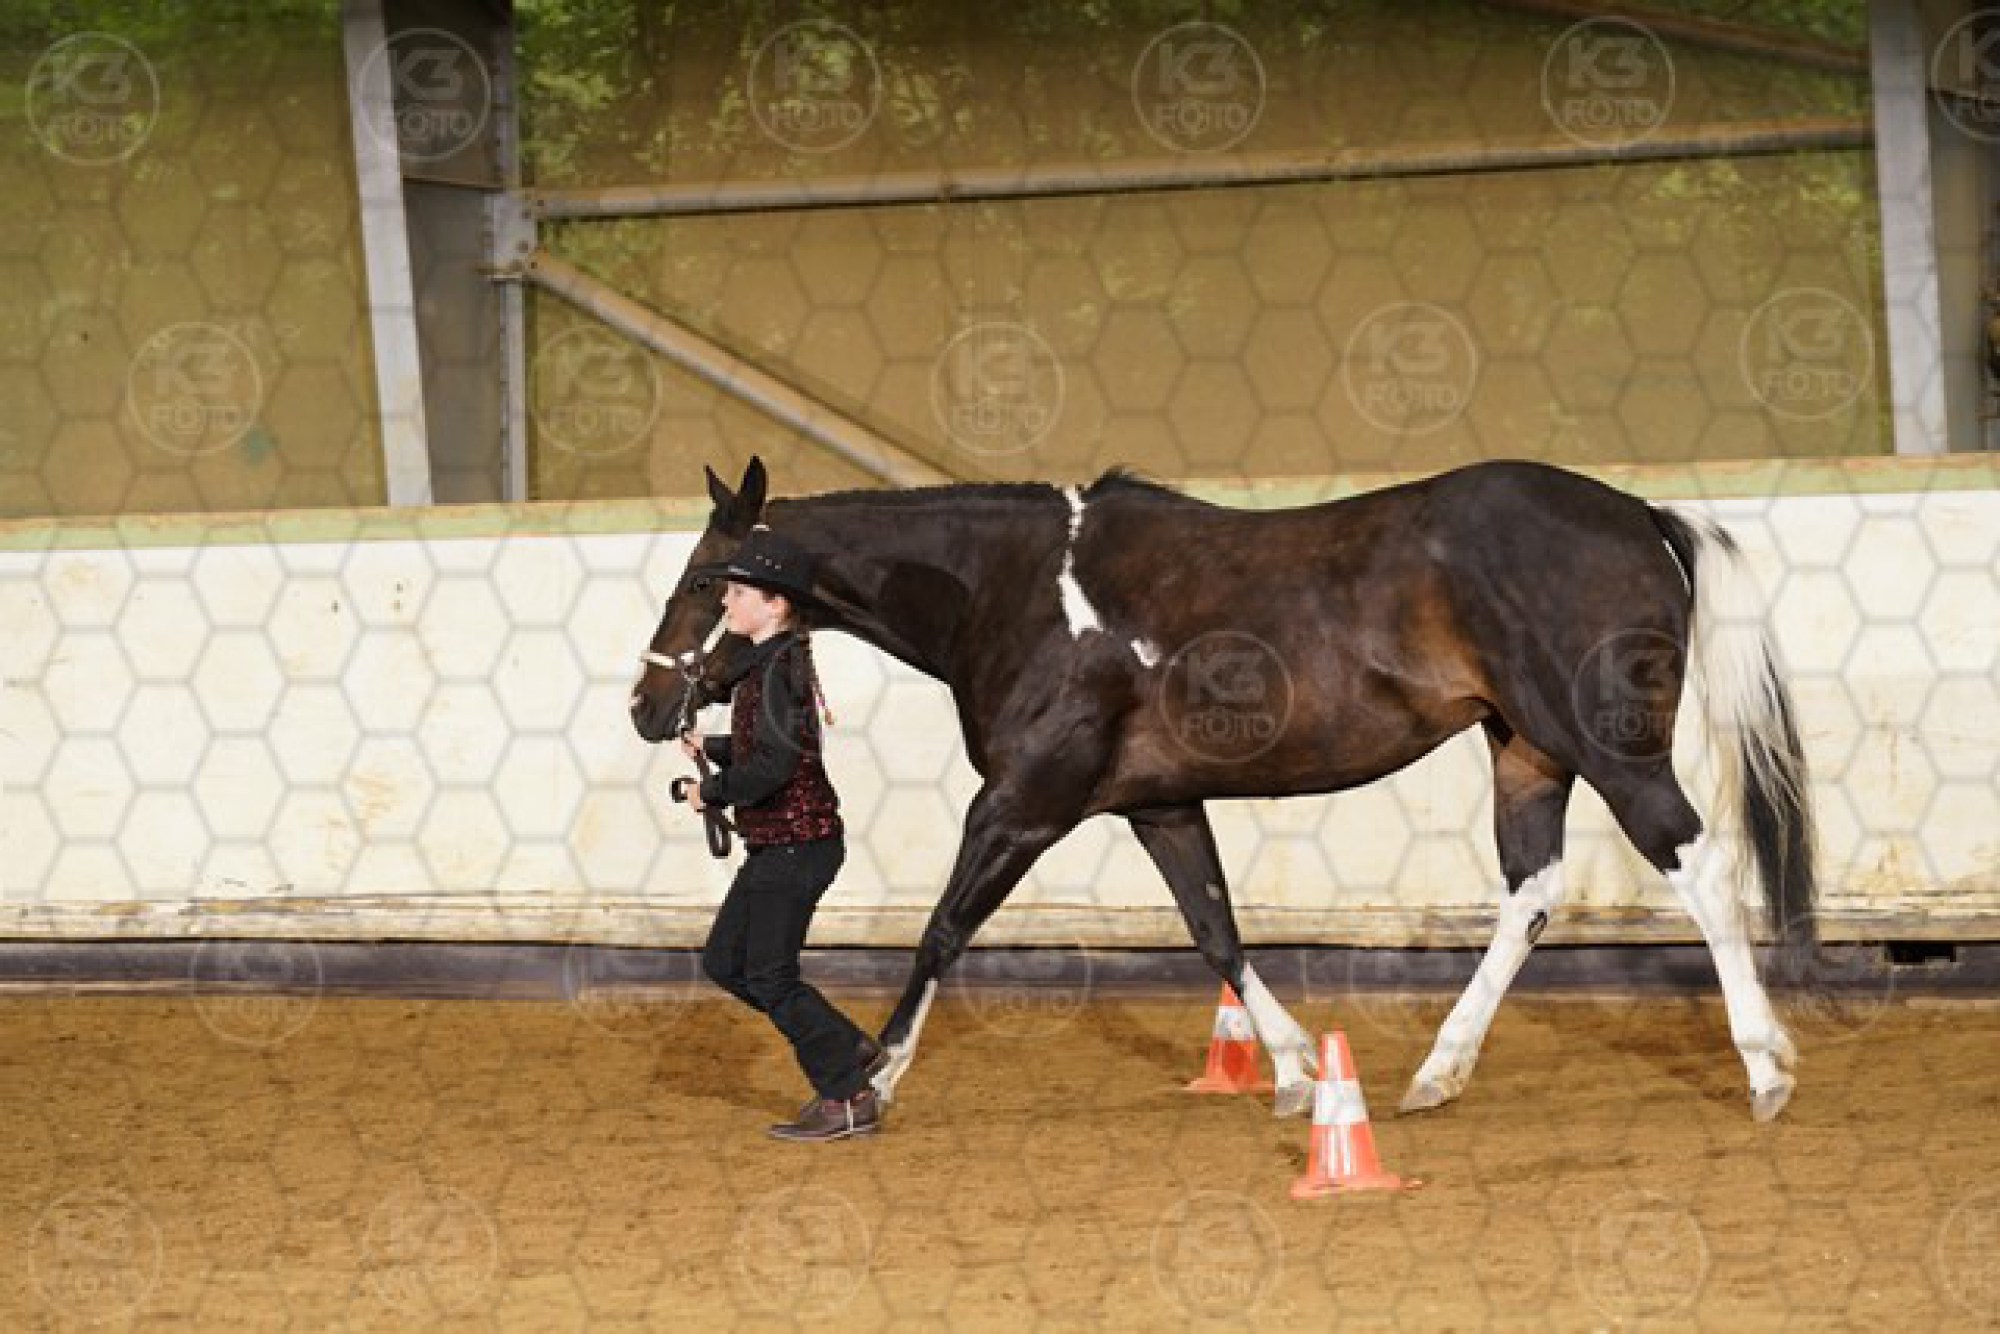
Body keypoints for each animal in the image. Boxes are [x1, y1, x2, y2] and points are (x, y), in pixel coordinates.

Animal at [631, 456, 1817, 1122]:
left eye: (701, 576)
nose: (648, 707)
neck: (1016, 591)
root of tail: (1639, 512)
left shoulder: (1022, 803)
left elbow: (939, 934)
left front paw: (872, 1080)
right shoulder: (1156, 803)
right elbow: (1215, 929)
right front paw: (1294, 1073)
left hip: (1609, 749)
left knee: (1700, 864)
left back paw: (1764, 1069)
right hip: (1524, 748)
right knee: (1531, 892)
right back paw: (1435, 1072)